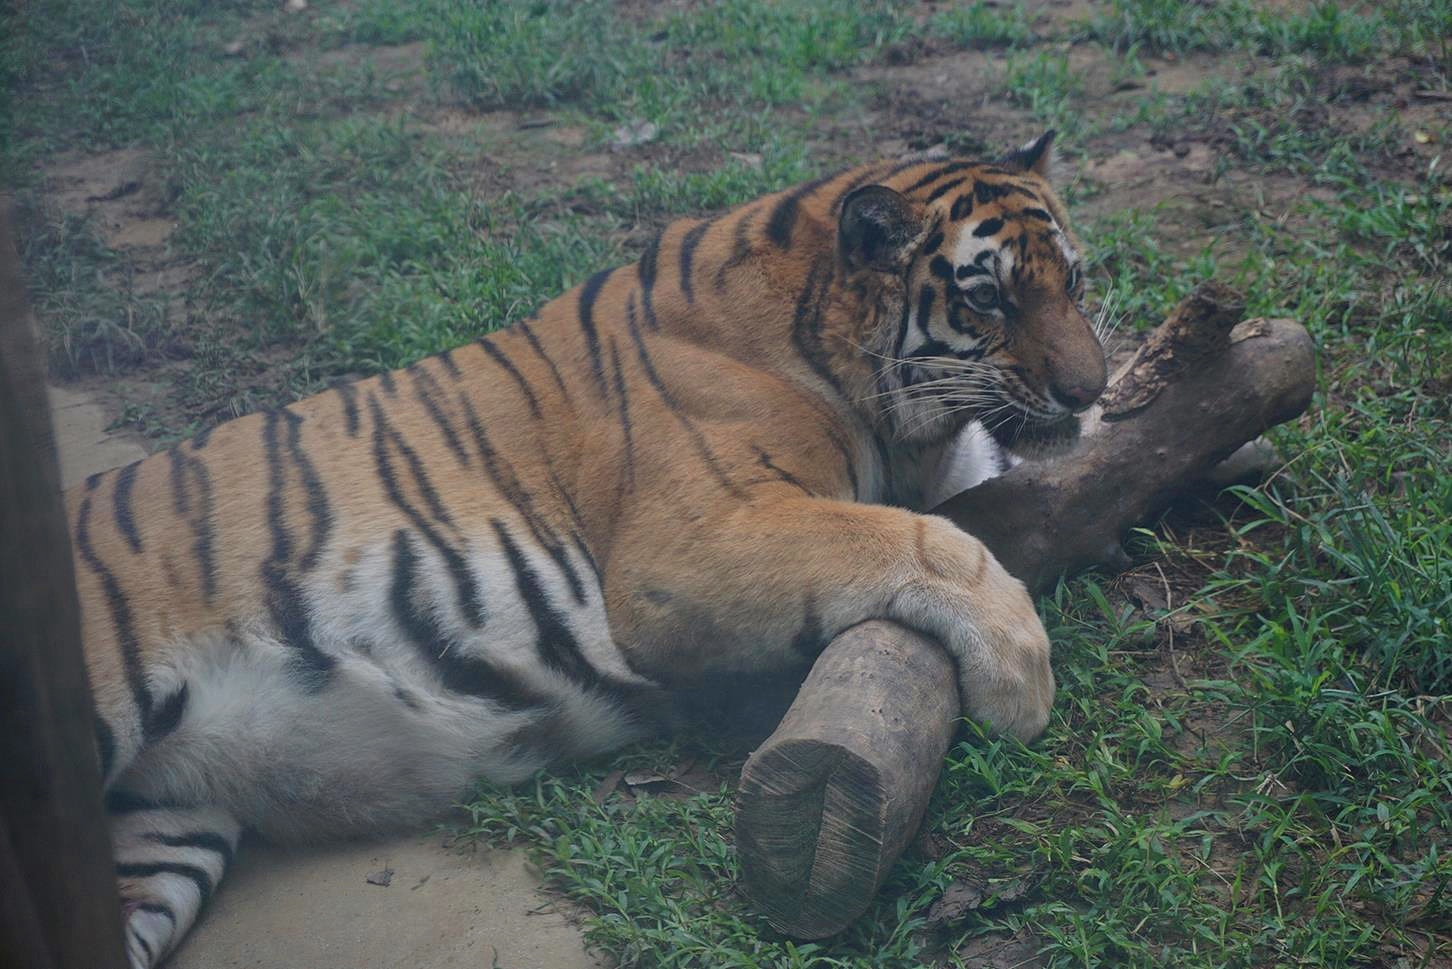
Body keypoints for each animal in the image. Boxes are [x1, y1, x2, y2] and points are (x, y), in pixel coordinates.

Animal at [68, 130, 1107, 968]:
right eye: (988, 299)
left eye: (1076, 280)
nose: (1089, 390)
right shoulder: (685, 548)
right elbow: (918, 536)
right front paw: (1021, 678)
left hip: (162, 835)